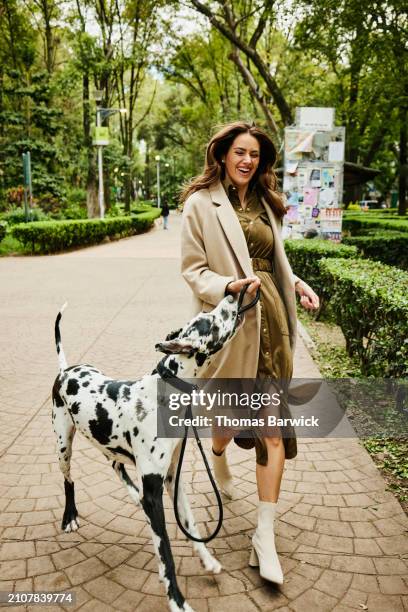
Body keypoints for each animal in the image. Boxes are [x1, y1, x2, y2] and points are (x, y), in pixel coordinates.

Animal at [51, 294, 242, 608]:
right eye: (209, 321)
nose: (230, 294)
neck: (164, 392)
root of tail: (65, 370)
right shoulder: (154, 493)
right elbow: (166, 554)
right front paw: (177, 601)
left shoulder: (172, 480)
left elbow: (191, 525)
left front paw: (207, 560)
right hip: (63, 445)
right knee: (68, 479)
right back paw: (70, 517)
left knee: (117, 467)